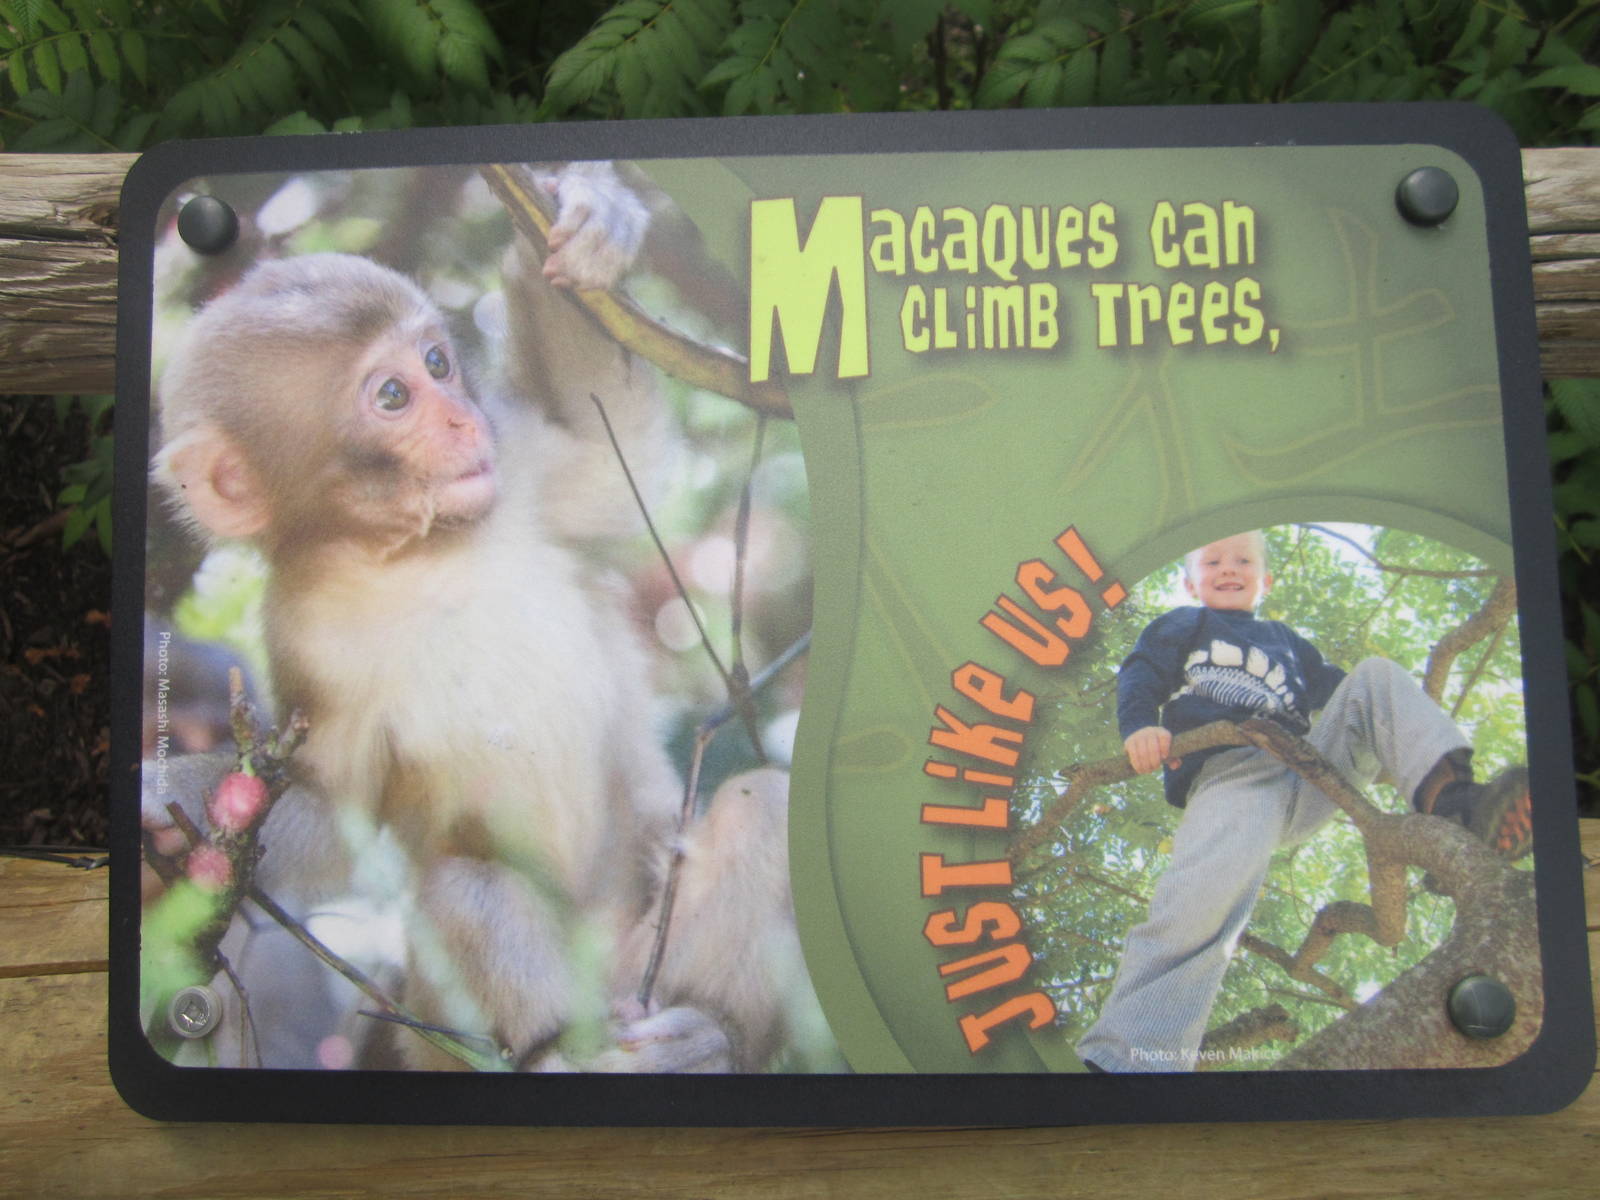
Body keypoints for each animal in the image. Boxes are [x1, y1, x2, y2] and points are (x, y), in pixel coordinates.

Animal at [142, 162, 815, 1073]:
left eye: (438, 362)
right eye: (393, 395)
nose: (462, 418)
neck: (413, 558)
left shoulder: (515, 469)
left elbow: (613, 461)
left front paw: (587, 224)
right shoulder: (304, 635)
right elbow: (333, 806)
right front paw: (172, 795)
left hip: (643, 959)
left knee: (761, 807)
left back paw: (708, 1038)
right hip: (446, 1028)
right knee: (466, 886)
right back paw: (553, 1056)